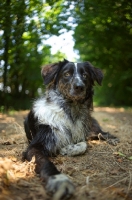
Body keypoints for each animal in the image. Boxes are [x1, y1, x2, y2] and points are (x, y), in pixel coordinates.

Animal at [22, 58, 118, 199]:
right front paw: (59, 180)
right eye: (66, 74)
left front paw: (67, 149)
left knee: (99, 133)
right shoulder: (34, 147)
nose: (79, 86)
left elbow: (83, 144)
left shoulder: (81, 133)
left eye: (85, 75)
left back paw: (111, 137)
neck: (71, 112)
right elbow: (46, 162)